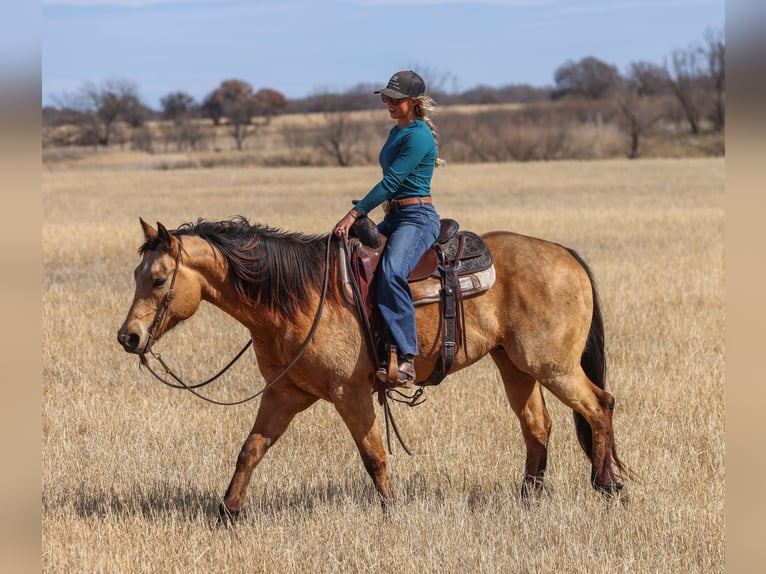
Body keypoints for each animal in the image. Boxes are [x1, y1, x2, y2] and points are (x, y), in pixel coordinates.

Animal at [117, 216, 630, 521]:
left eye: (159, 280)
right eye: (136, 275)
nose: (129, 337)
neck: (299, 297)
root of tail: (564, 253)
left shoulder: (350, 394)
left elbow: (374, 455)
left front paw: (392, 511)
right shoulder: (284, 394)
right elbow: (250, 450)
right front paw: (227, 512)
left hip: (553, 366)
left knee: (599, 405)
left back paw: (608, 486)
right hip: (517, 365)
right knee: (537, 426)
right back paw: (529, 498)